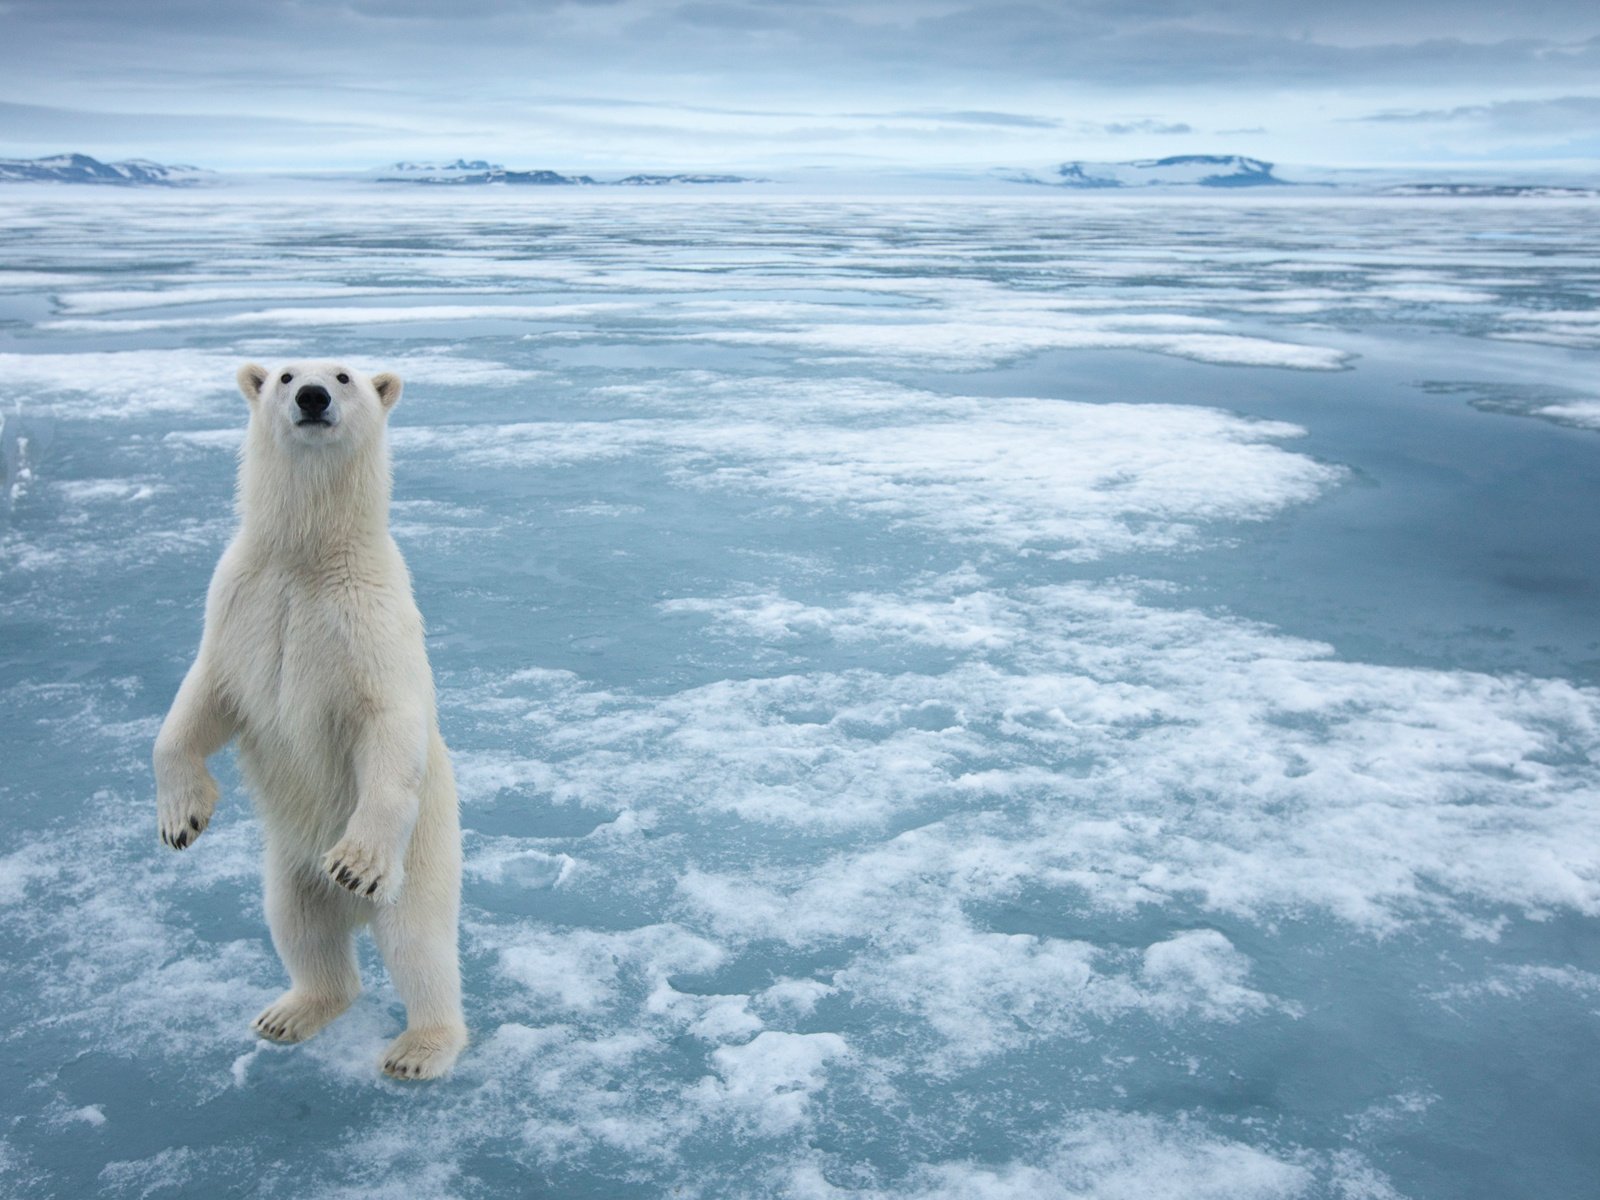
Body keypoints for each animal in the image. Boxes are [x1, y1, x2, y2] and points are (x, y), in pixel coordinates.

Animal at [153, 360, 467, 1081]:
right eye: (286, 373)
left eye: (345, 375)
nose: (313, 397)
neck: (307, 556)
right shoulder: (240, 603)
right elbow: (201, 702)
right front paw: (182, 819)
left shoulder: (369, 619)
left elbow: (388, 722)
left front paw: (355, 861)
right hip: (289, 865)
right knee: (299, 928)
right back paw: (290, 1012)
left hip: (424, 857)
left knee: (419, 945)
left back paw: (419, 1048)